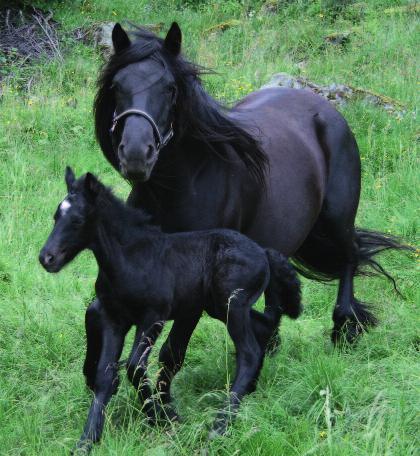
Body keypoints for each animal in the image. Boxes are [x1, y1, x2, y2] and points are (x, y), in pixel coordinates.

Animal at [40, 168, 302, 452]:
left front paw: (164, 417)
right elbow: (104, 375)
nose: (46, 258)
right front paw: (86, 441)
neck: (132, 259)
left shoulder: (153, 317)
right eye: (56, 216)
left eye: (77, 221)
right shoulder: (114, 319)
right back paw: (249, 392)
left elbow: (134, 366)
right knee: (263, 328)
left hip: (233, 306)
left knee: (250, 352)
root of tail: (264, 252)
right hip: (220, 307)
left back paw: (220, 425)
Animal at [92, 20, 406, 342]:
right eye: (116, 86)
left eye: (170, 88)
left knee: (350, 256)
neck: (176, 189)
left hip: (337, 219)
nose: (135, 154)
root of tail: (327, 109)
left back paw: (344, 328)